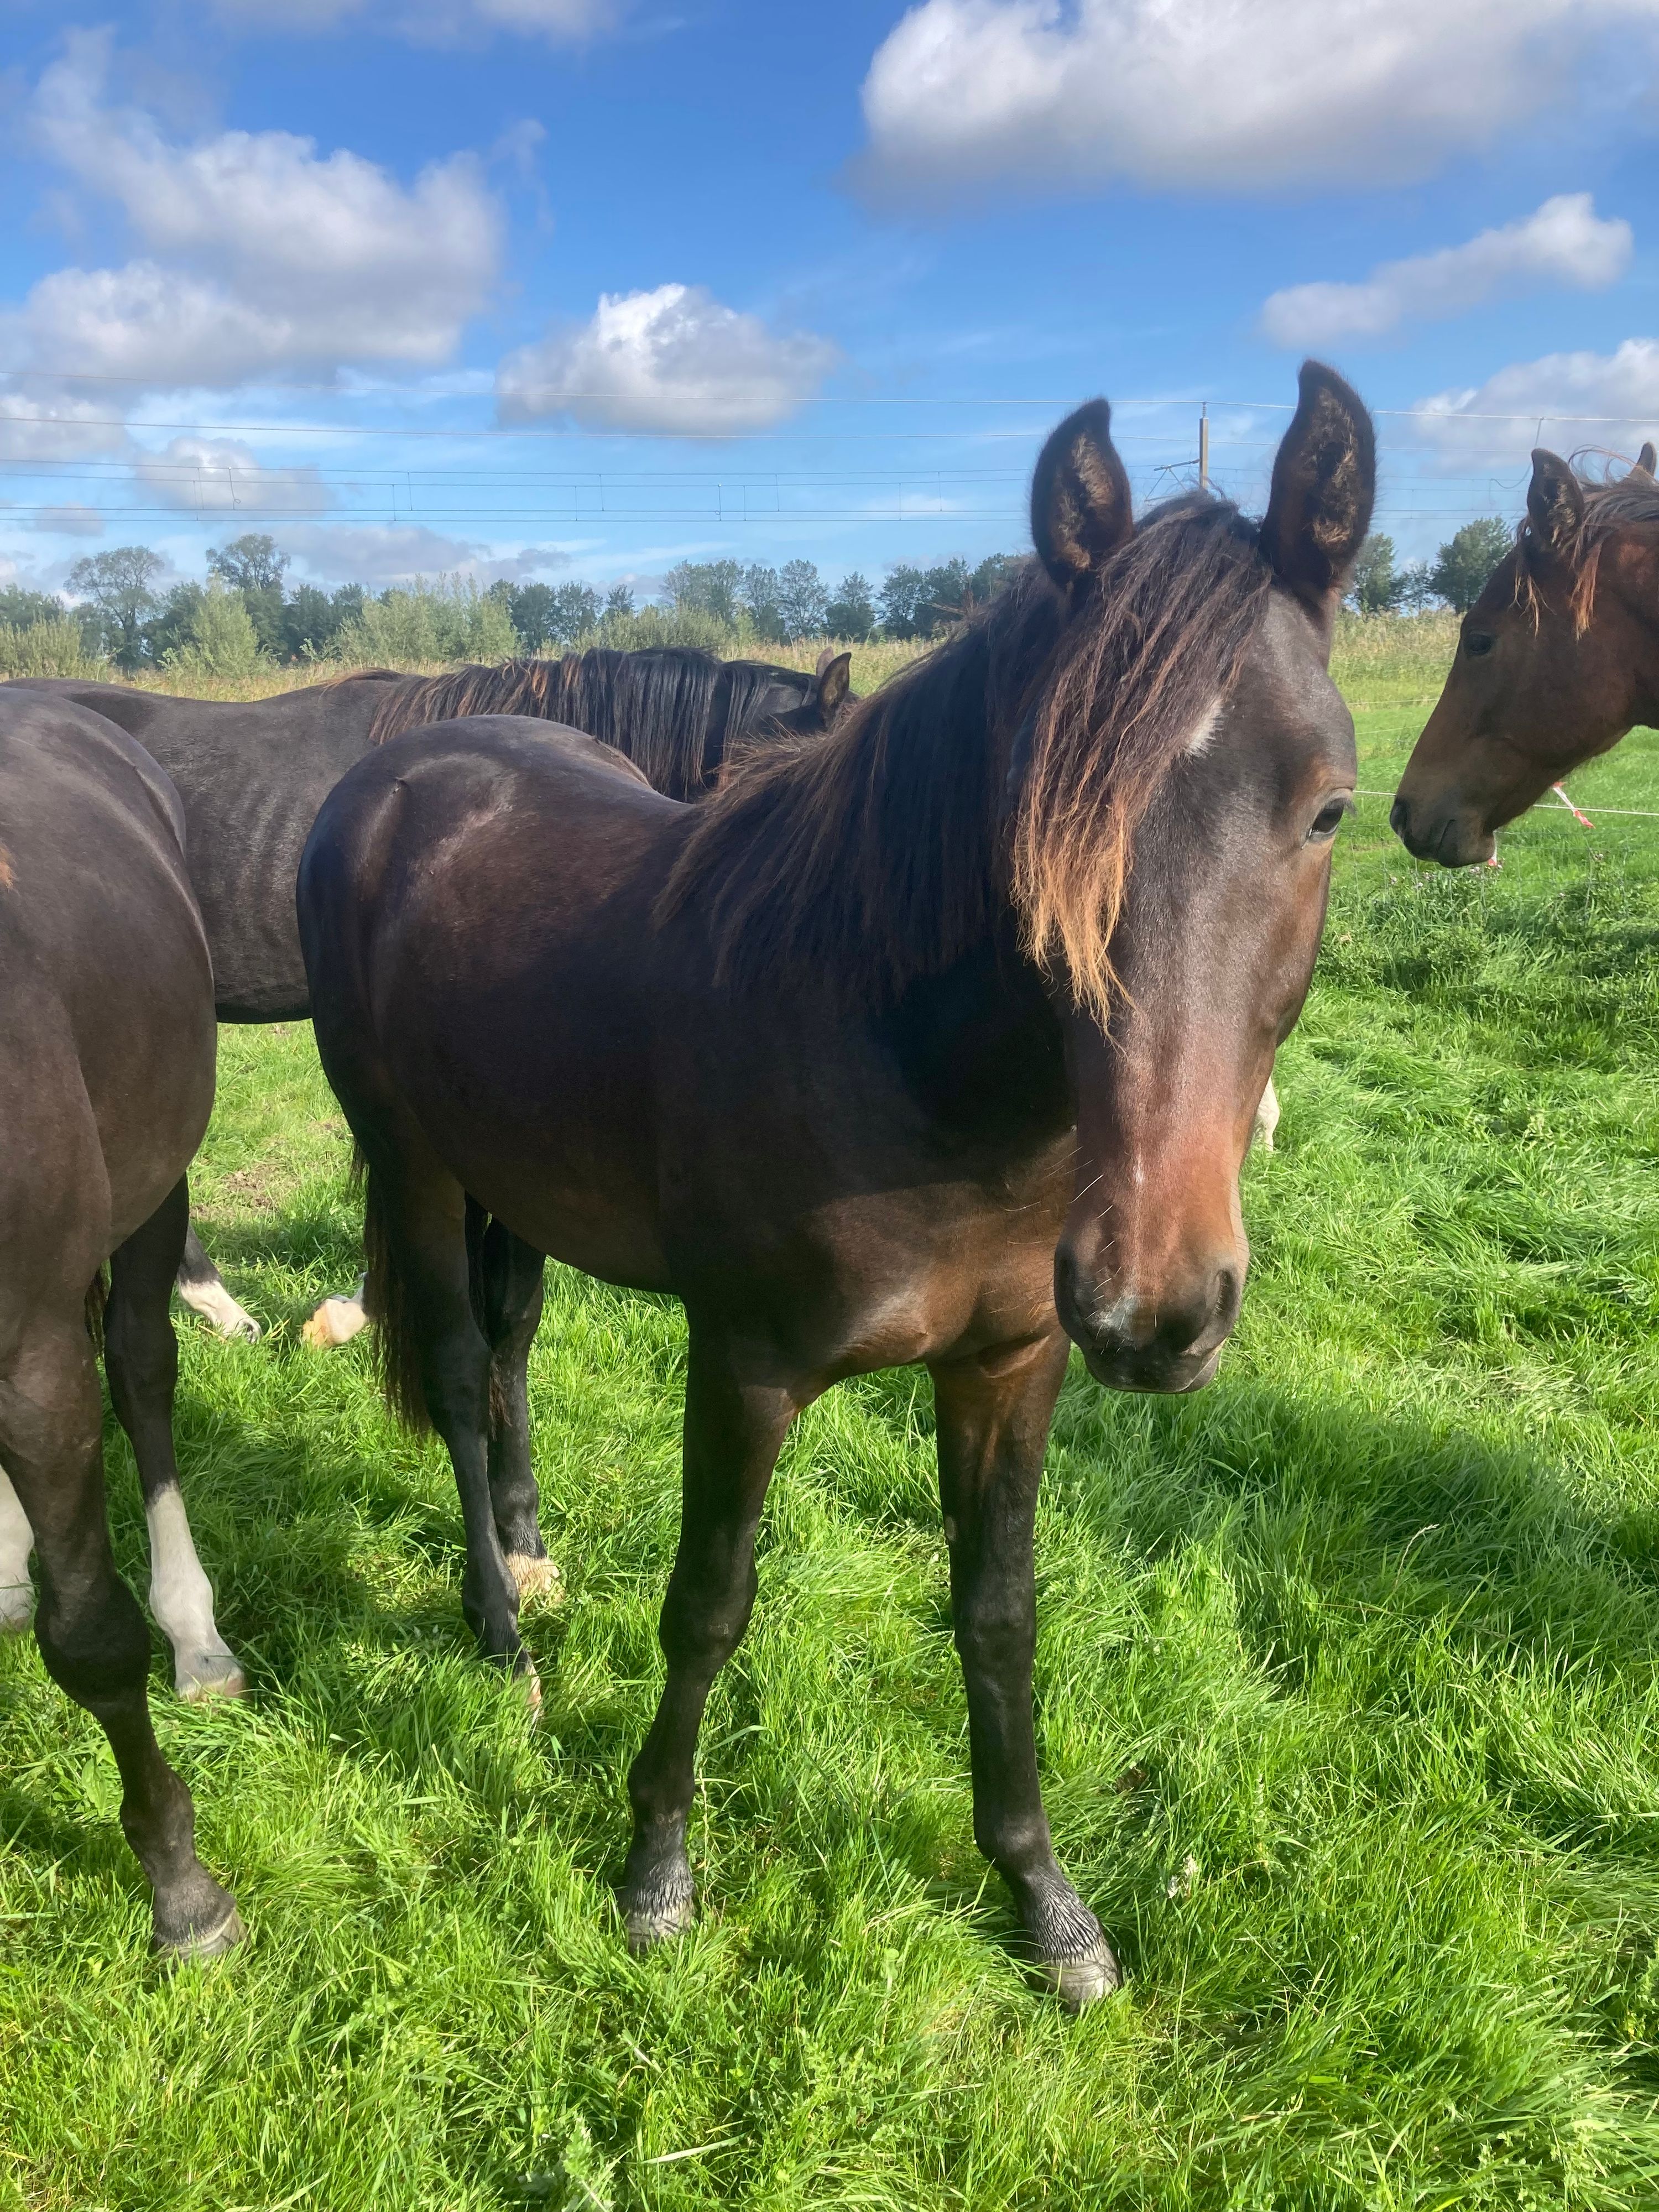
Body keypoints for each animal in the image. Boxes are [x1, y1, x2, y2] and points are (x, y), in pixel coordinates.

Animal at [296, 361, 1373, 2006]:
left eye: (1327, 808)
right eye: (1035, 820)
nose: (1155, 1301)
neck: (908, 1064)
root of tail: (397, 774)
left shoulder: (1010, 1364)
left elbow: (997, 1616)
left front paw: (1046, 1903)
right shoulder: (744, 1365)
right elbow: (708, 1603)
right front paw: (656, 1874)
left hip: (509, 1176)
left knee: (512, 1347)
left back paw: (535, 1559)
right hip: (412, 1160)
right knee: (465, 1367)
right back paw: (499, 1631)